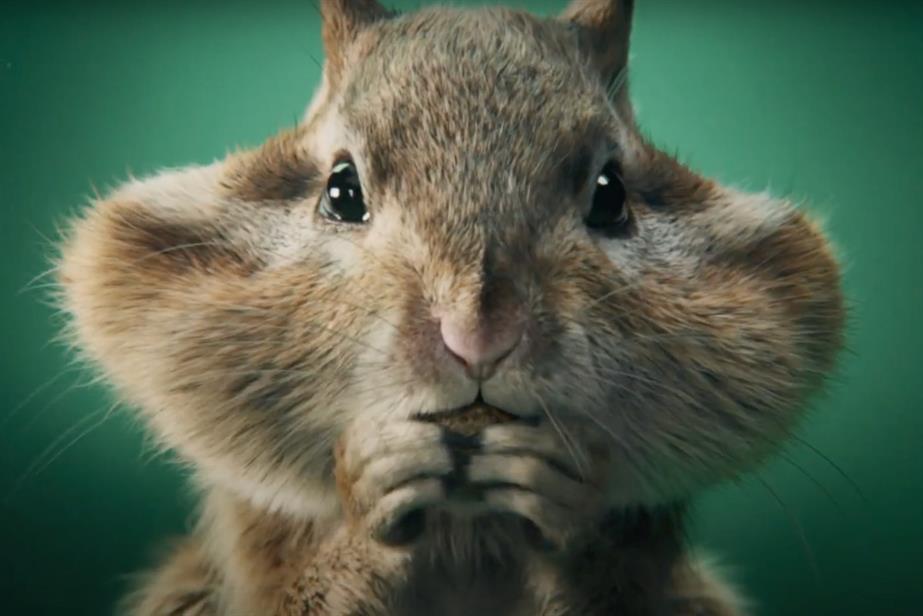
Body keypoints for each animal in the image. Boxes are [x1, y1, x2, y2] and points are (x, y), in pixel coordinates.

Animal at [56, 0, 844, 614]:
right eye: (341, 190)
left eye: (610, 194)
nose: (477, 339)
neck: (467, 538)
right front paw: (372, 485)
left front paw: (566, 490)